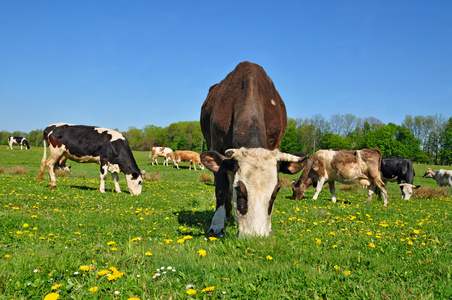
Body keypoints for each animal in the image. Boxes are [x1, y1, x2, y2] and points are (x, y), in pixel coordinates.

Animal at [201, 62, 308, 238]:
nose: (256, 236)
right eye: (239, 189)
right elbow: (221, 189)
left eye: (277, 190)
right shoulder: (217, 147)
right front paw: (216, 225)